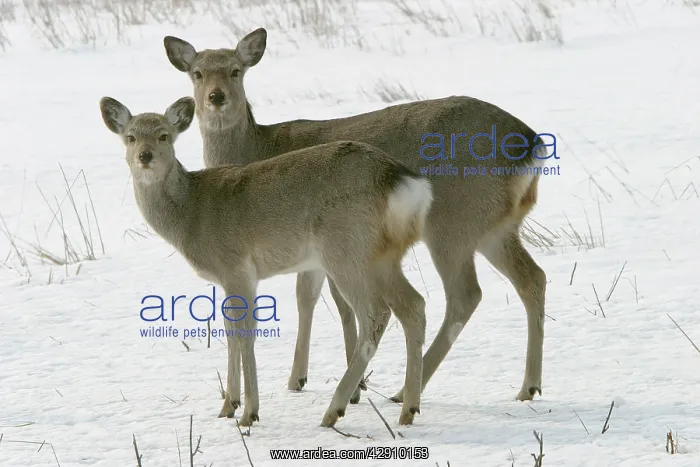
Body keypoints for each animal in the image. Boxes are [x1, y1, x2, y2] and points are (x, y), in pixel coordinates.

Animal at [98, 95, 433, 428]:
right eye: (130, 136)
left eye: (163, 135)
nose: (144, 156)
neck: (191, 214)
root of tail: (398, 180)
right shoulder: (229, 278)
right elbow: (229, 329)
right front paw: (228, 406)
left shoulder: (236, 266)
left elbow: (246, 330)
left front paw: (249, 413)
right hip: (383, 256)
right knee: (413, 305)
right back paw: (408, 409)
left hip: (347, 249)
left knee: (376, 313)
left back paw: (334, 410)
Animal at [163, 28, 549, 407]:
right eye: (197, 73)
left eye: (235, 70)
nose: (215, 98)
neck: (257, 148)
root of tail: (530, 146)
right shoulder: (310, 249)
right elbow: (307, 297)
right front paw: (298, 379)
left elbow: (338, 304)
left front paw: (355, 386)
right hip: (496, 226)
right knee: (533, 277)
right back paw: (528, 386)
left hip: (452, 221)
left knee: (464, 294)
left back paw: (406, 391)